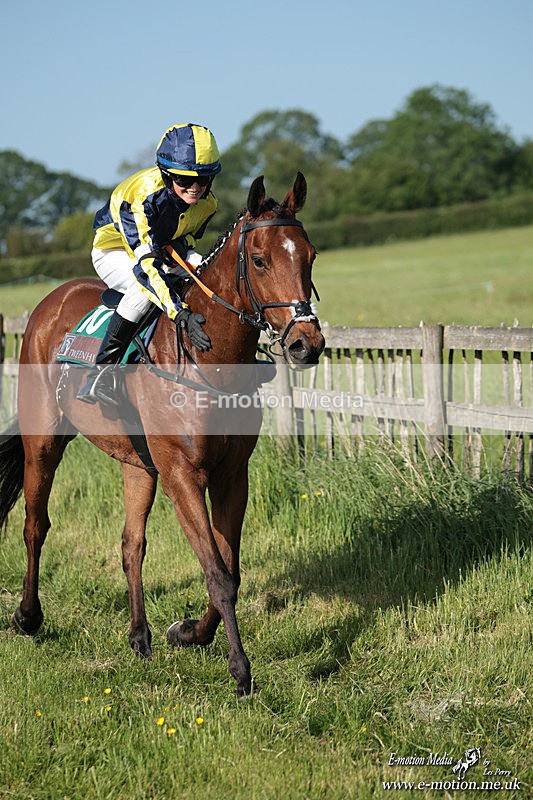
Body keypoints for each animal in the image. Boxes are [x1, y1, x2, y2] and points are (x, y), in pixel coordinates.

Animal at [0, 173, 325, 697]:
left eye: (310, 255)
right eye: (259, 260)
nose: (305, 344)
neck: (208, 364)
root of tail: (50, 302)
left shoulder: (231, 474)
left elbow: (229, 568)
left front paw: (188, 632)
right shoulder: (182, 474)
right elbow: (217, 572)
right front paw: (240, 671)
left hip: (138, 465)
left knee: (132, 544)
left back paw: (139, 635)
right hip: (44, 441)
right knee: (35, 524)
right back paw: (28, 616)